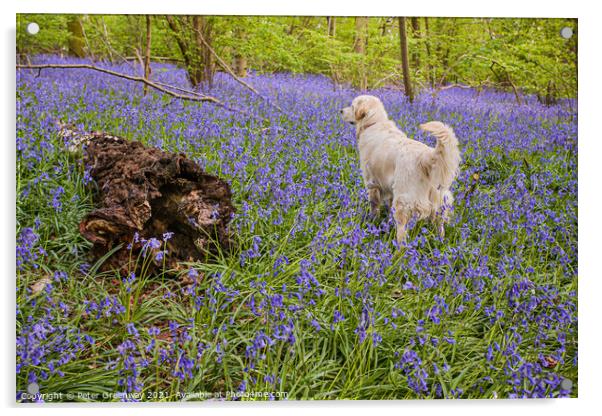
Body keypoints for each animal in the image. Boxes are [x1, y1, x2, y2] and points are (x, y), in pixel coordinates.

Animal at [342, 95, 460, 244]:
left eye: (352, 107)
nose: (341, 111)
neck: (374, 122)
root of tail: (425, 157)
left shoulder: (372, 183)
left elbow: (374, 207)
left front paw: (372, 221)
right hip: (440, 200)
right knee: (440, 225)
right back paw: (440, 241)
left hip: (403, 202)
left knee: (402, 232)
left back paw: (398, 248)